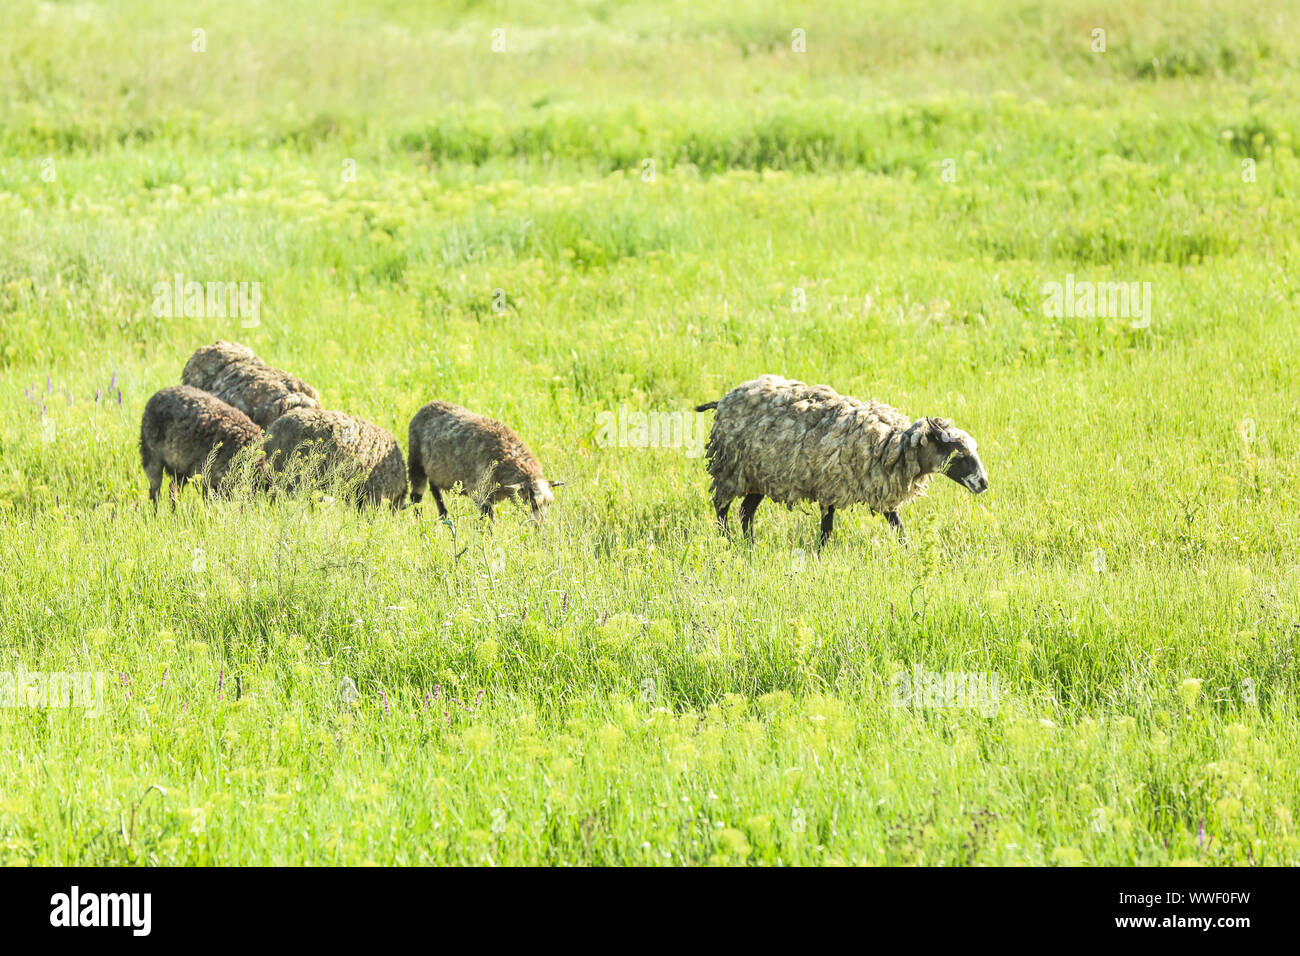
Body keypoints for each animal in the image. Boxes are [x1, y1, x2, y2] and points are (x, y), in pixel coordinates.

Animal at [139, 385, 267, 508]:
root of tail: (156, 395)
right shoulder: (207, 475)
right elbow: (208, 500)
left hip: (181, 466)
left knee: (173, 489)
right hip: (151, 456)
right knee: (155, 491)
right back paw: (156, 511)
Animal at [407, 400, 563, 521]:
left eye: (549, 504)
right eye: (533, 503)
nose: (539, 527)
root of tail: (428, 405)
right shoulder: (479, 492)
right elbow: (488, 519)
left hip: (435, 471)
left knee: (435, 489)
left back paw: (444, 515)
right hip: (416, 463)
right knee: (416, 496)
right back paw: (419, 520)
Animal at [695, 374, 987, 545]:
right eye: (960, 454)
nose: (984, 483)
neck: (891, 445)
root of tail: (723, 400)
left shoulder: (879, 489)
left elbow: (897, 524)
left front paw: (908, 549)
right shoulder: (830, 488)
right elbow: (827, 528)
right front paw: (820, 553)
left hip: (760, 474)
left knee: (746, 511)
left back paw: (750, 545)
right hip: (732, 468)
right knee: (721, 507)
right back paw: (728, 542)